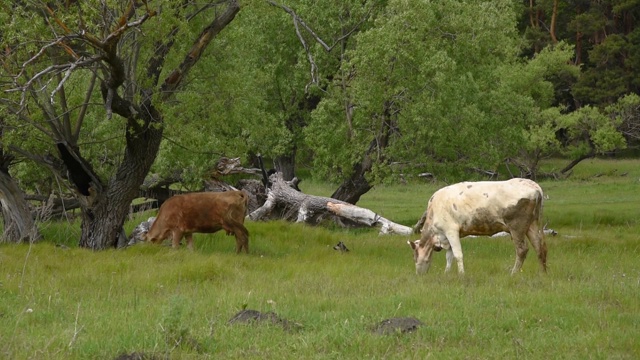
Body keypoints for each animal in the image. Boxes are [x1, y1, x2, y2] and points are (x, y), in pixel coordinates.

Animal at [408, 179, 548, 274]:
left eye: (415, 257)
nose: (419, 274)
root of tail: (534, 185)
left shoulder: (451, 230)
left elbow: (457, 254)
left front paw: (461, 275)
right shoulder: (447, 237)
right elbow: (449, 256)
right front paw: (446, 273)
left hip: (517, 227)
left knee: (522, 250)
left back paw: (513, 273)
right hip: (532, 225)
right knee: (539, 247)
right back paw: (542, 273)